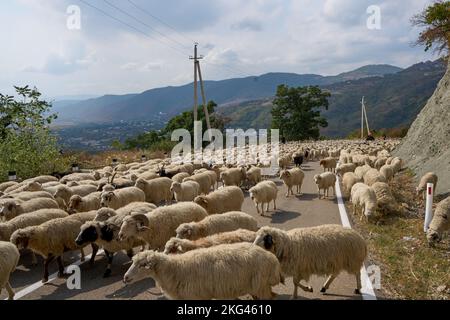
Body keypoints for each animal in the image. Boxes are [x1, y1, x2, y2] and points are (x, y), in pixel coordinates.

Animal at [123, 244, 284, 302]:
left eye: (142, 265)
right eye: (133, 262)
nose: (125, 278)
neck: (175, 269)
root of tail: (273, 259)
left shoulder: (196, 296)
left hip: (260, 285)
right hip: (259, 286)